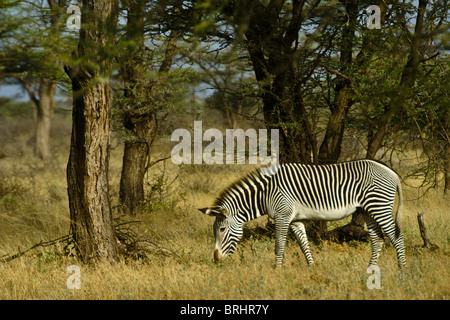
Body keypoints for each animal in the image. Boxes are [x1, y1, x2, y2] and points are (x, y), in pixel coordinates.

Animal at [199, 159, 406, 268]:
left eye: (222, 229)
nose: (216, 260)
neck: (265, 194)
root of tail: (393, 173)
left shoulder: (282, 216)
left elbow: (279, 245)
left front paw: (277, 270)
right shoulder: (294, 220)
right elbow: (304, 244)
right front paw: (312, 268)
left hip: (379, 207)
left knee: (397, 237)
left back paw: (401, 269)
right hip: (368, 210)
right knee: (378, 239)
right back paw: (370, 269)